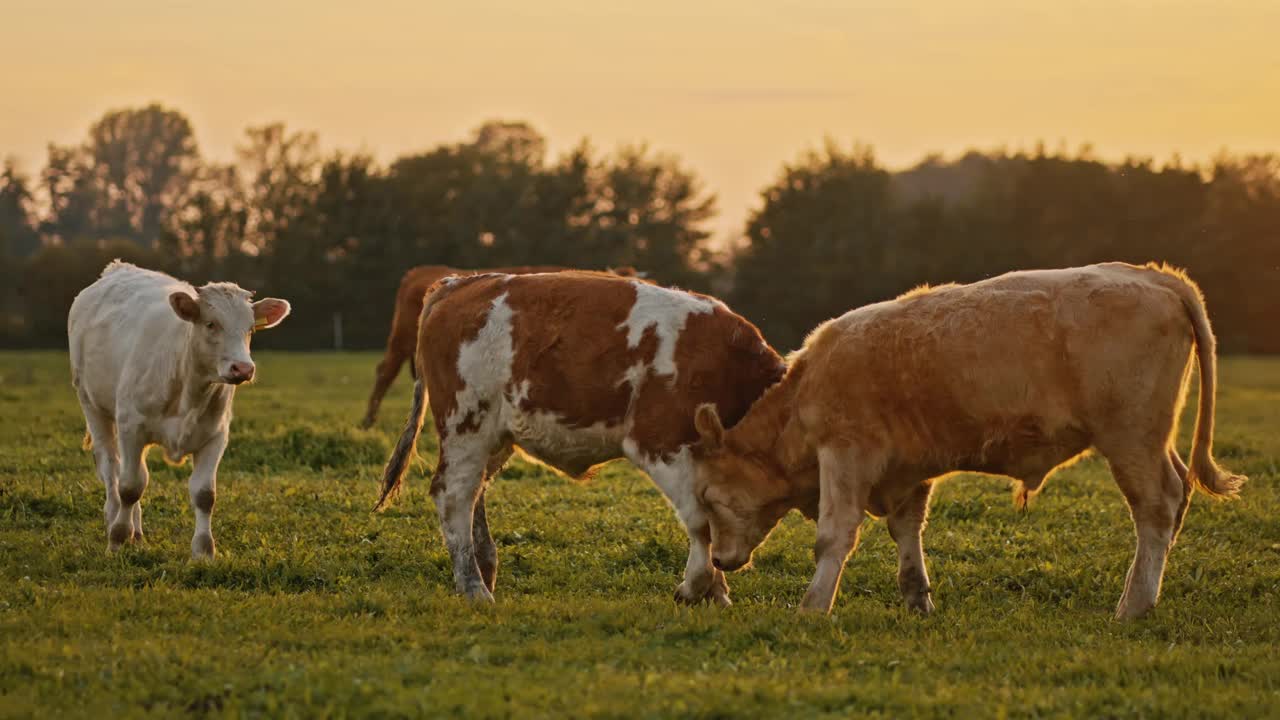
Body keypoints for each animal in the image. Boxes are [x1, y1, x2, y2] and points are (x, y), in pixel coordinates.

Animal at [70, 258, 293, 556]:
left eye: (250, 329)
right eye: (211, 324)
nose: (243, 368)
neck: (189, 389)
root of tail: (118, 268)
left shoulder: (215, 436)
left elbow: (204, 494)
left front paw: (203, 551)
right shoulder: (132, 426)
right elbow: (129, 487)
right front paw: (117, 539)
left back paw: (137, 532)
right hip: (92, 405)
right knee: (112, 469)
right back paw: (115, 520)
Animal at [373, 271, 783, 602]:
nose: (733, 562)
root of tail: (460, 283)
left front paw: (716, 592)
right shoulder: (659, 442)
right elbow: (701, 521)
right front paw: (697, 587)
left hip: (492, 435)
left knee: (475, 494)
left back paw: (485, 571)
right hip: (466, 423)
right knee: (454, 495)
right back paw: (474, 589)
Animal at [696, 263, 1244, 617]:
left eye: (711, 498)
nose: (718, 560)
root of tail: (1156, 275)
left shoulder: (846, 452)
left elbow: (835, 535)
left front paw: (812, 607)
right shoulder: (906, 468)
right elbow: (906, 531)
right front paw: (917, 599)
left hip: (1131, 437)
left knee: (1157, 504)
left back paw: (1134, 603)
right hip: (1152, 440)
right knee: (1178, 493)